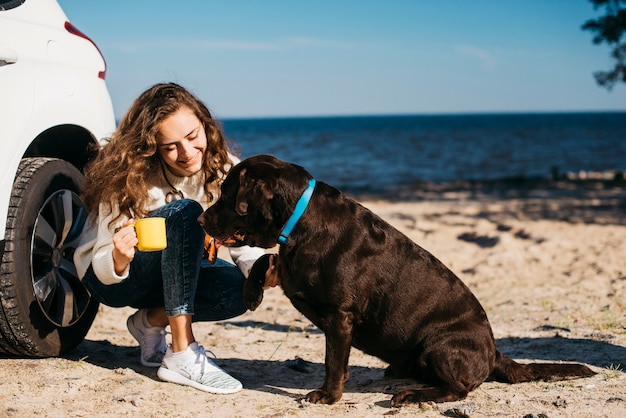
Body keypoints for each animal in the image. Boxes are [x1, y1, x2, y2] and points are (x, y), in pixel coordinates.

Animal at [196, 153, 596, 404]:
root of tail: (494, 351)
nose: (200, 218)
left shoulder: (340, 317)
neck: (298, 219)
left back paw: (413, 395)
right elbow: (266, 259)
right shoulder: (291, 268)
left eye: (228, 195)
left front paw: (328, 396)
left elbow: (333, 362)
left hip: (440, 346)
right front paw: (252, 293)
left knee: (459, 389)